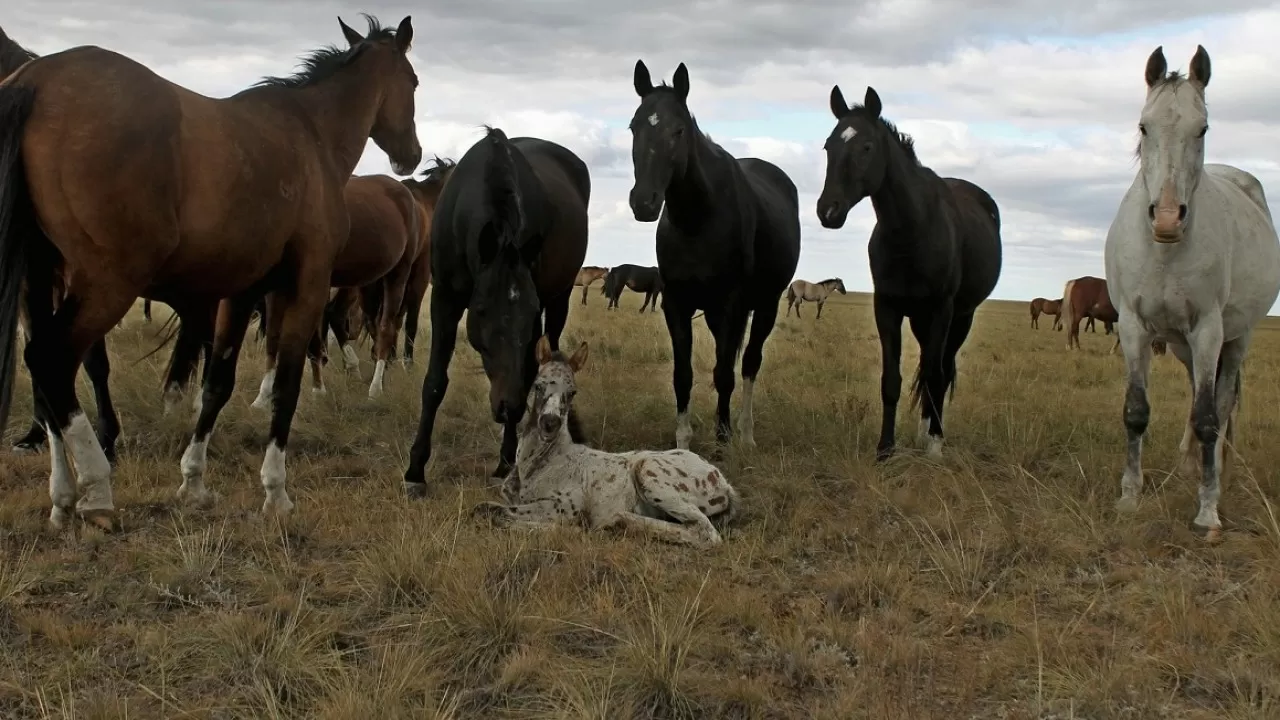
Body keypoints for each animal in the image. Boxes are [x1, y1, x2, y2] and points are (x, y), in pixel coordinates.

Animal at [0, 12, 424, 527]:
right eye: (413, 81)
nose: (411, 155)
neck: (310, 135)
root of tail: (37, 79)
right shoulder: (306, 285)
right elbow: (286, 384)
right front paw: (276, 491)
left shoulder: (241, 292)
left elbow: (216, 385)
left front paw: (194, 482)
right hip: (106, 284)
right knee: (51, 359)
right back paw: (96, 486)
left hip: (40, 281)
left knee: (44, 382)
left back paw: (61, 496)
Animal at [401, 126, 591, 491]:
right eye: (482, 311)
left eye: (530, 315)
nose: (508, 407)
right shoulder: (444, 298)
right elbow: (434, 382)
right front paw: (415, 471)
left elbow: (532, 373)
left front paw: (508, 460)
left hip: (560, 299)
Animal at [629, 60, 798, 448]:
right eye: (633, 127)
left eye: (678, 130)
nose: (643, 202)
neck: (698, 220)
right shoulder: (677, 303)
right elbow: (683, 375)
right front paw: (683, 441)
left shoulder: (732, 303)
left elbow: (725, 373)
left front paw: (723, 440)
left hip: (765, 305)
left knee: (749, 363)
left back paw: (745, 434)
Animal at [814, 83, 1003, 458]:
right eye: (829, 145)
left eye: (867, 147)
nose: (828, 211)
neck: (912, 231)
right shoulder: (887, 307)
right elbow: (892, 380)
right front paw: (885, 449)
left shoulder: (942, 310)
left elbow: (935, 375)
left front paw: (933, 448)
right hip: (919, 319)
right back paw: (922, 431)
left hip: (960, 317)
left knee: (941, 370)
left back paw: (933, 435)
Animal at [1100, 46, 1280, 538]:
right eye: (1144, 126)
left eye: (1202, 129)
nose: (1166, 218)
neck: (1165, 250)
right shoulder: (1134, 328)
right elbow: (1135, 411)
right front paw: (1129, 496)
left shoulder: (1208, 330)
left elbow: (1208, 417)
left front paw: (1207, 509)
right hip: (1181, 345)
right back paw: (1187, 465)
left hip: (1234, 340)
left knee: (1222, 400)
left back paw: (1214, 468)